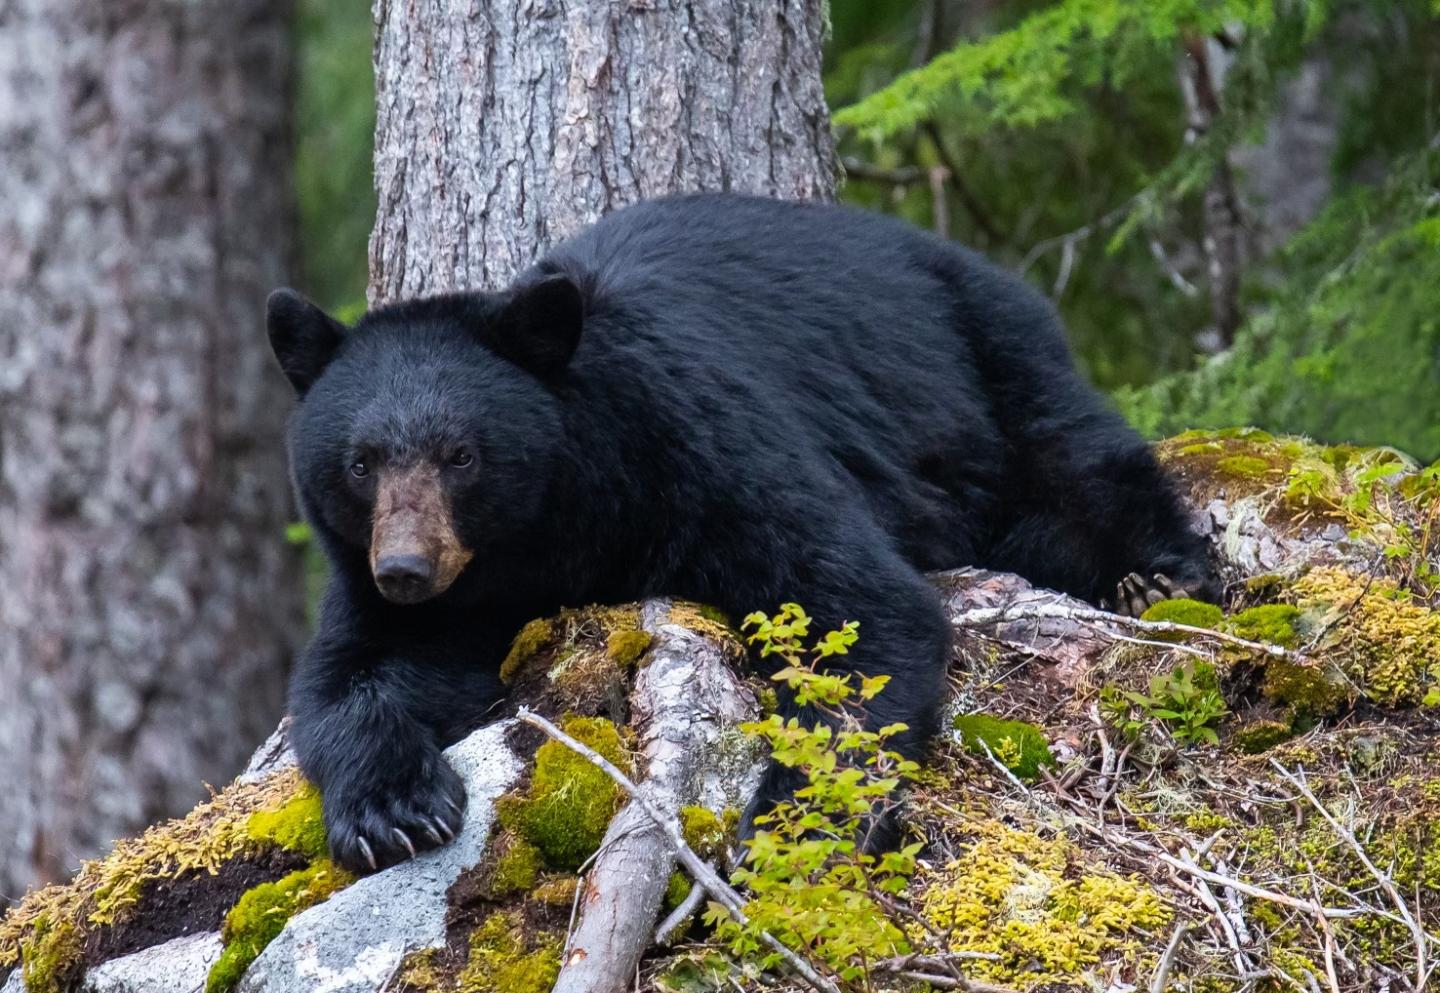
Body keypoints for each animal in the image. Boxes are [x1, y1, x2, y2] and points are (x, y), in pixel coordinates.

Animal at [266, 193, 1216, 873]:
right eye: (360, 461)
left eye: (461, 453)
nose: (405, 567)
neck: (557, 519)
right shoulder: (446, 585)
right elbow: (350, 671)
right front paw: (394, 808)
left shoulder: (697, 442)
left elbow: (853, 603)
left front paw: (791, 821)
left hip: (983, 349)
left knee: (1072, 450)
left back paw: (1158, 575)